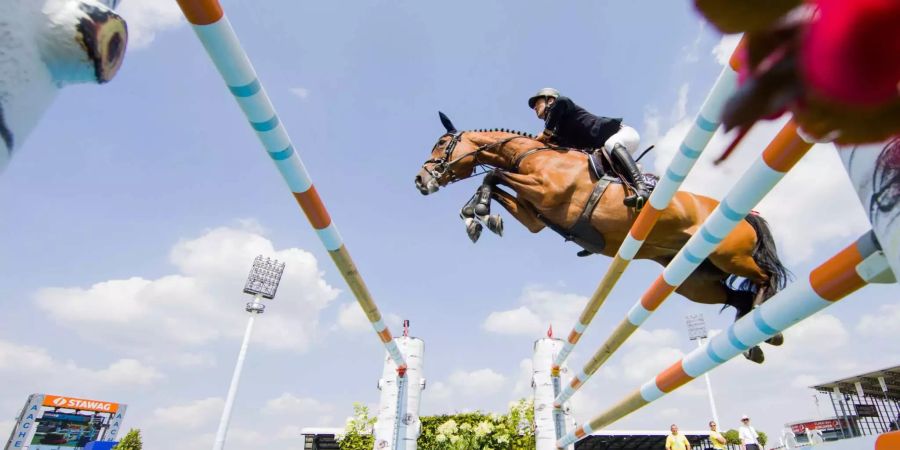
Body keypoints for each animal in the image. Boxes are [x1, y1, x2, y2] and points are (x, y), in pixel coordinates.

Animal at [414, 113, 788, 362]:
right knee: (736, 297)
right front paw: (479, 218)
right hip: (695, 281)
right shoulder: (534, 216)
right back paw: (755, 339)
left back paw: (766, 320)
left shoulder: (548, 193)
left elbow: (493, 174)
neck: (533, 155)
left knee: (766, 277)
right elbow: (496, 182)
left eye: (443, 144)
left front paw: (475, 212)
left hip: (731, 255)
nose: (420, 180)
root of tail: (747, 214)